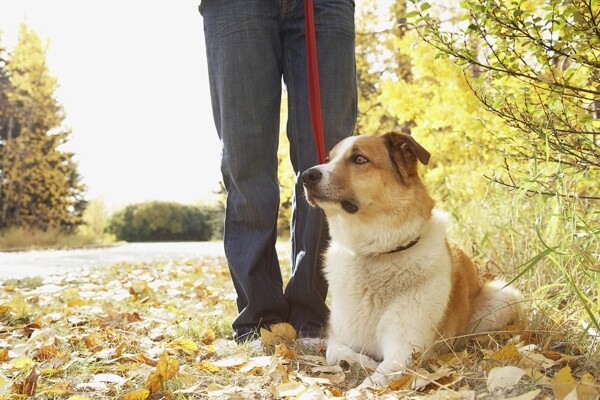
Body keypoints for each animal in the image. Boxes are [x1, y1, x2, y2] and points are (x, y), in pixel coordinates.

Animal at [300, 133, 520, 390]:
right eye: (329, 159)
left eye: (359, 159)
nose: (306, 176)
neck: (376, 255)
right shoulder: (339, 336)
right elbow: (332, 352)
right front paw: (364, 361)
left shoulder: (403, 351)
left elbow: (370, 383)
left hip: (505, 296)